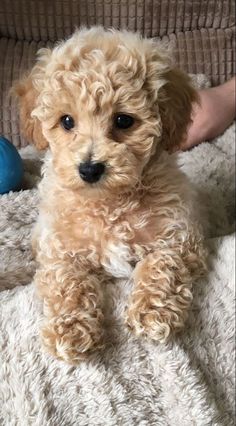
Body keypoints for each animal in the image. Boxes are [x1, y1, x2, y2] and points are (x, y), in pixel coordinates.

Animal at [15, 27, 206, 362]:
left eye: (123, 120)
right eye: (67, 121)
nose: (90, 169)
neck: (108, 202)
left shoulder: (181, 238)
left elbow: (161, 263)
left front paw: (152, 312)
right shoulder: (58, 251)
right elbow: (67, 281)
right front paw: (70, 329)